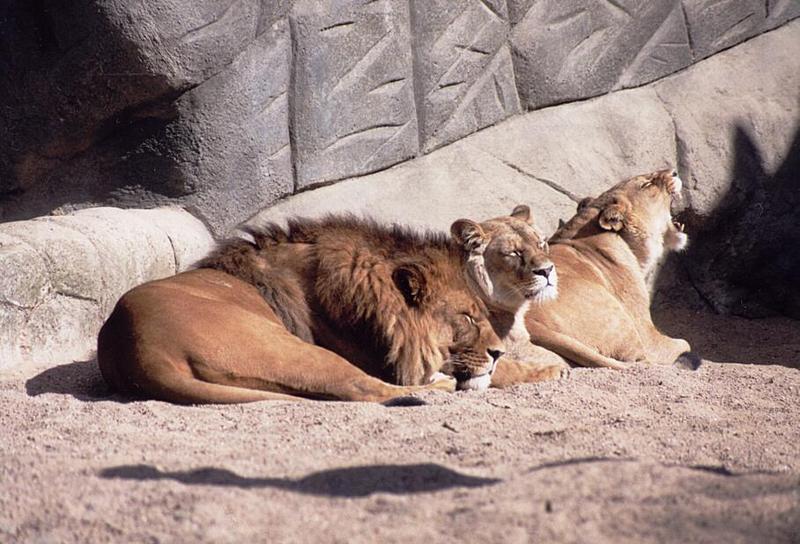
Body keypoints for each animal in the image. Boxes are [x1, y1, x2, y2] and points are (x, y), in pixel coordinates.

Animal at [98, 215, 506, 402]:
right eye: (468, 317)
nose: (498, 352)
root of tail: (139, 350)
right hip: (291, 350)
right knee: (368, 390)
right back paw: (441, 385)